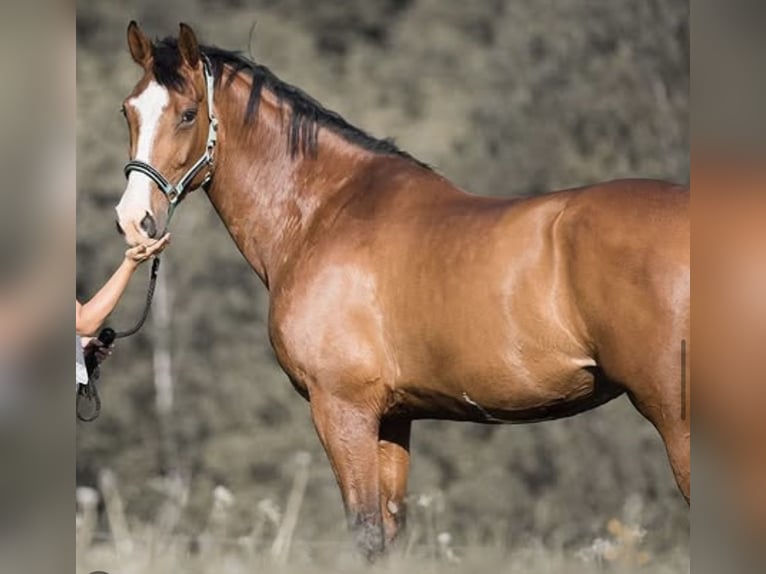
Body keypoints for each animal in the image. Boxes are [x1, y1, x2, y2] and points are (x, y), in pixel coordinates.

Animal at [114, 22, 690, 558]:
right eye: (128, 112)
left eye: (189, 114)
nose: (134, 221)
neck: (323, 213)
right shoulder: (393, 417)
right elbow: (391, 533)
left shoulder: (341, 408)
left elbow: (367, 532)